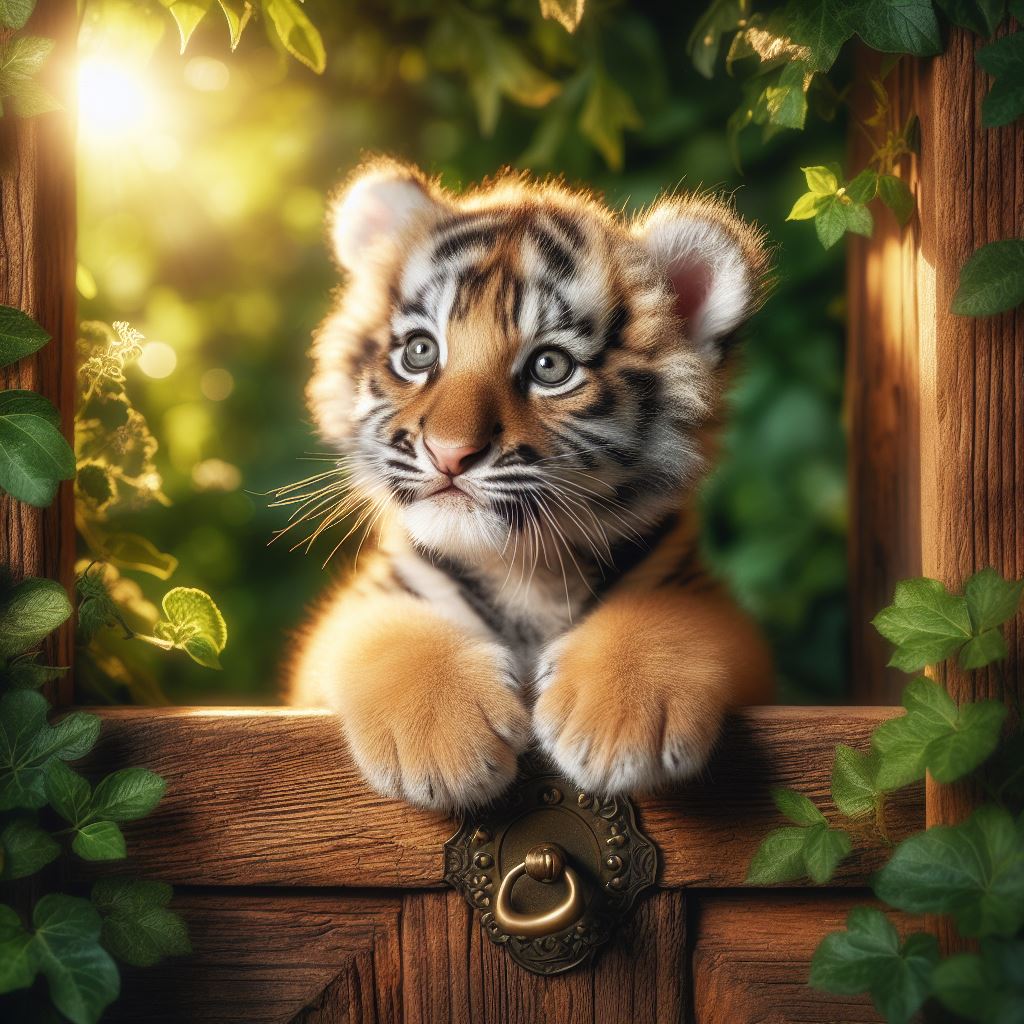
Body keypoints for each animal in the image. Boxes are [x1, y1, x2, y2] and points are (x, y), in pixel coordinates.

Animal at [287, 158, 774, 811]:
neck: (523, 570)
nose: (449, 452)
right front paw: (441, 740)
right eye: (420, 352)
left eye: (550, 367)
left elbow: (671, 614)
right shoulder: (355, 617)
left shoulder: (708, 604)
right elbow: (381, 628)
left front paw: (619, 727)